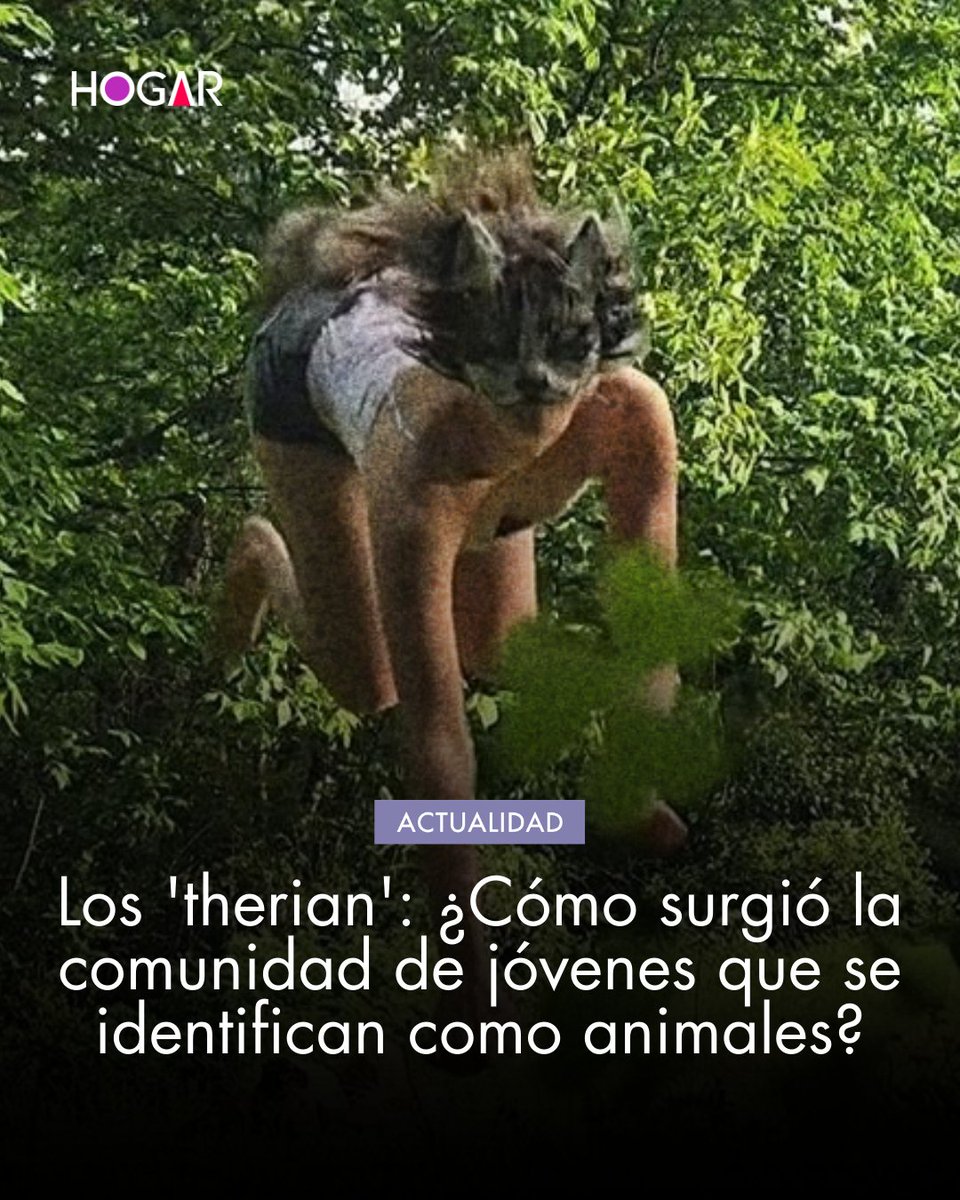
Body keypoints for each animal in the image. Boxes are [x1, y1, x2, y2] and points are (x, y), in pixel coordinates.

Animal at [217, 151, 682, 1019]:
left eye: (572, 336)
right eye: (497, 333)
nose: (535, 379)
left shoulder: (641, 414)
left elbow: (650, 638)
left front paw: (640, 806)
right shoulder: (411, 493)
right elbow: (436, 739)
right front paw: (468, 984)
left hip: (494, 555)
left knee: (493, 642)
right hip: (285, 417)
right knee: (365, 664)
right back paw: (242, 576)